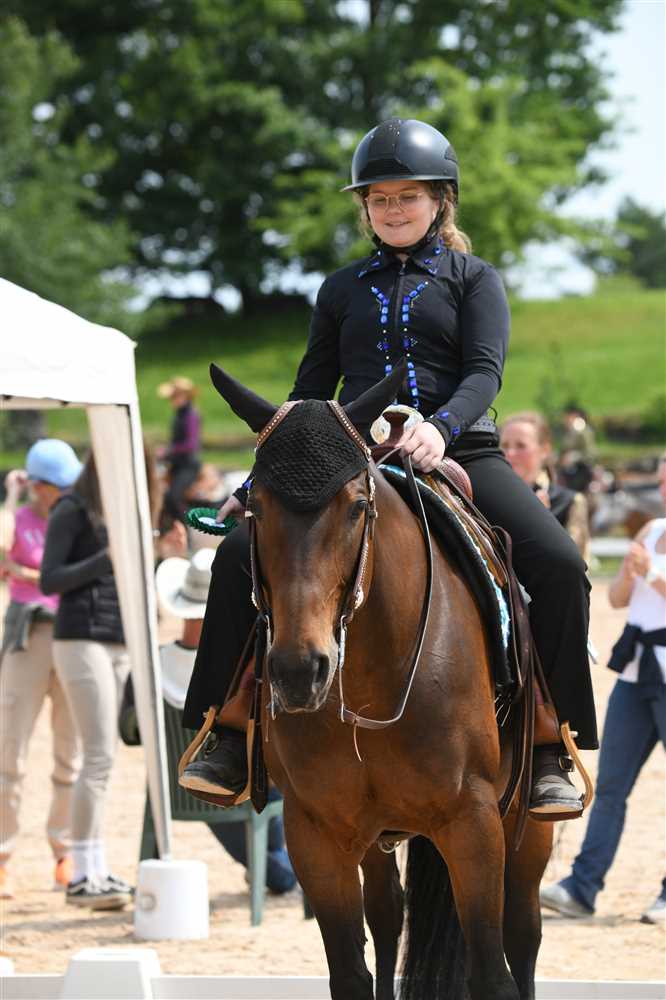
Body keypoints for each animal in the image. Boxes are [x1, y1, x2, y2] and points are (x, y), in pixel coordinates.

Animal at [210, 361, 553, 1000]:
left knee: (524, 934)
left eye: (355, 506)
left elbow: (491, 972)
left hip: (526, 826)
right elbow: (351, 970)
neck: (372, 682)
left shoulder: (473, 824)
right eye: (255, 507)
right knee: (389, 916)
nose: (299, 670)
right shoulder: (317, 832)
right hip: (373, 835)